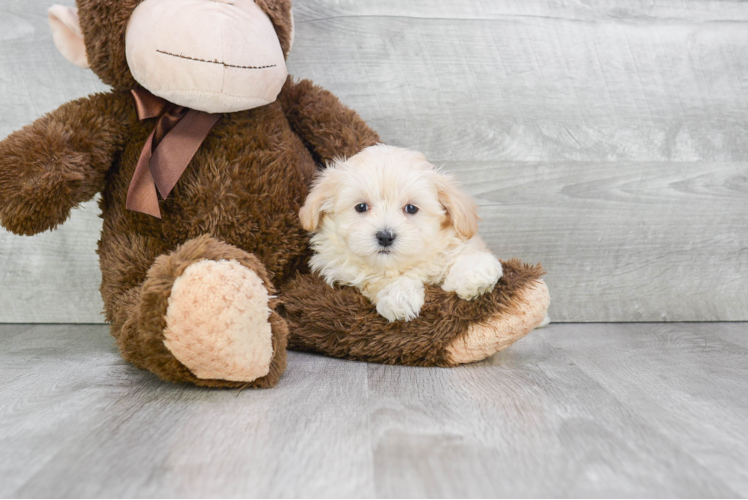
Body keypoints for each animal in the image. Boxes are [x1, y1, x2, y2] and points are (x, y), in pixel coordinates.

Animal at [300, 144, 506, 324]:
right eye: (361, 207)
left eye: (411, 208)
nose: (385, 236)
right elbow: (374, 279)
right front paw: (398, 295)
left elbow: (464, 254)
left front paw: (475, 272)